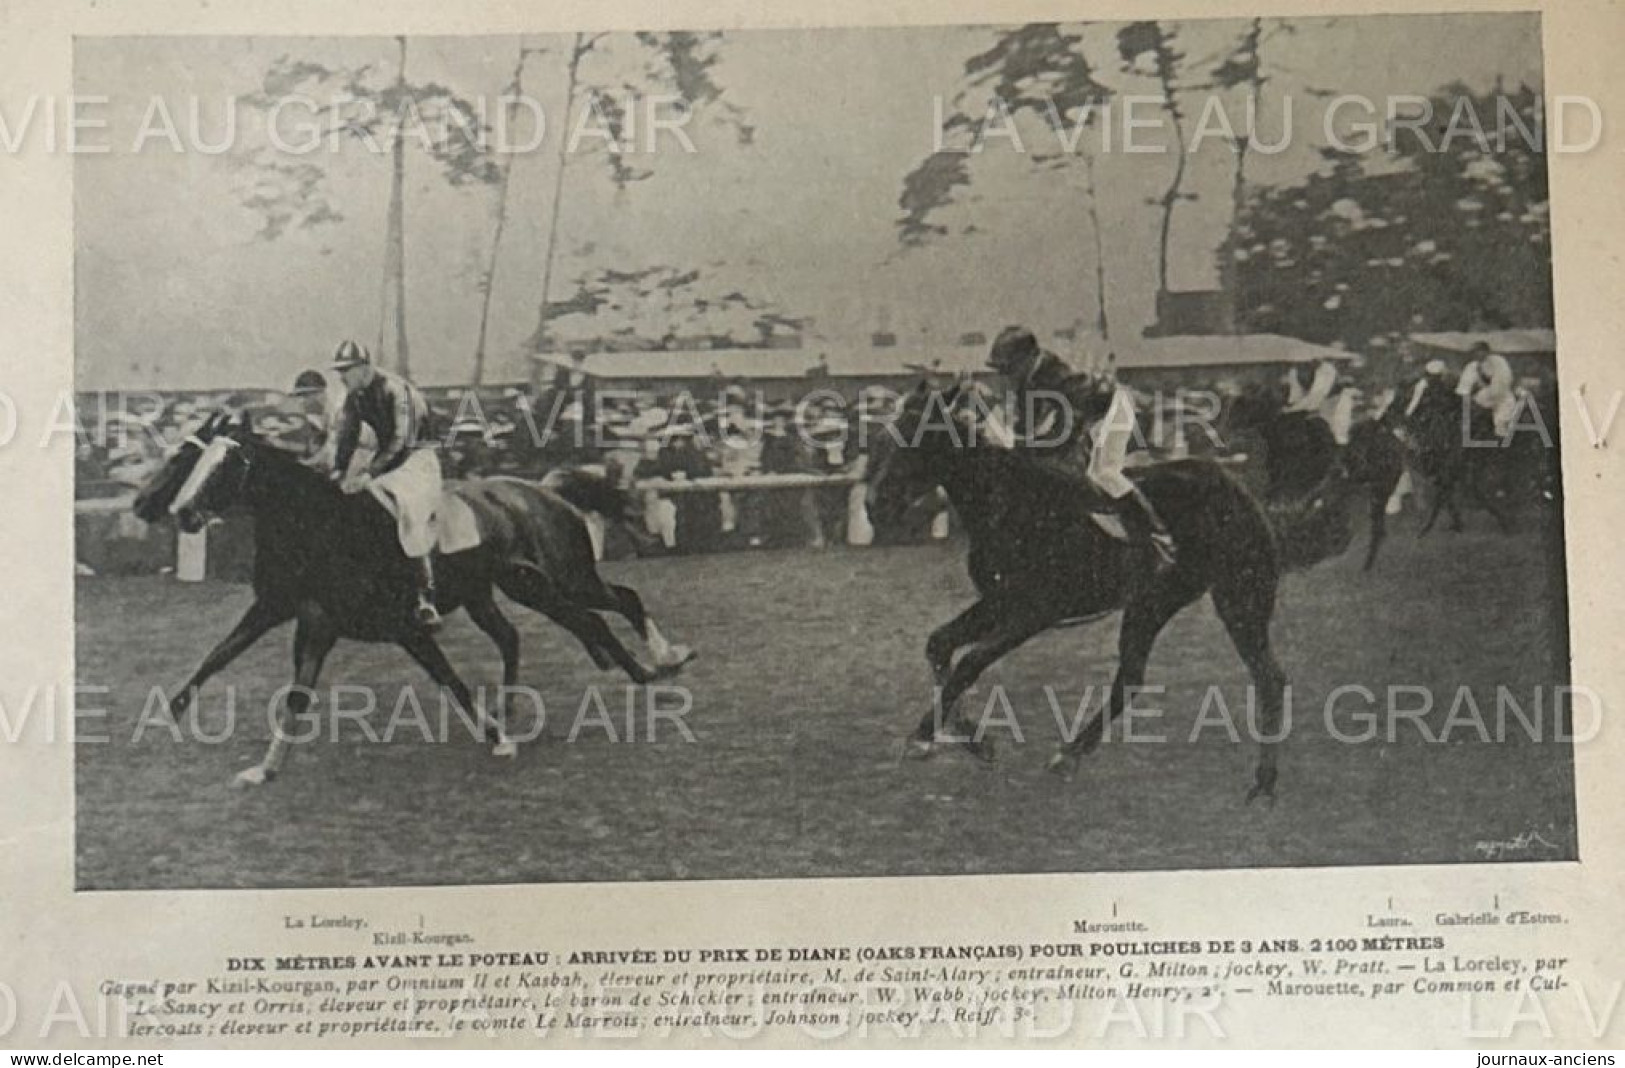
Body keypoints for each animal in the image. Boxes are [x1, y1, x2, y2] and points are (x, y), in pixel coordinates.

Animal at [131, 412, 692, 786]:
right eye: (191, 459)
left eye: (222, 464)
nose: (168, 509)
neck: (321, 527)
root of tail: (547, 490)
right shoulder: (293, 614)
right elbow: (226, 661)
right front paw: (191, 729)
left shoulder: (401, 627)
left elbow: (451, 681)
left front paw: (498, 741)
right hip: (513, 588)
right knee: (540, 630)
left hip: (565, 576)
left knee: (616, 603)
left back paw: (660, 665)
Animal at [871, 383, 1287, 799]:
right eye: (890, 435)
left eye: (916, 438)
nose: (876, 502)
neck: (1011, 506)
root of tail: (1239, 488)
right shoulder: (997, 602)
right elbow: (939, 645)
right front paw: (969, 738)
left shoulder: (1032, 612)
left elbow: (971, 662)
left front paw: (929, 735)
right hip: (1152, 603)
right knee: (1131, 678)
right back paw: (1070, 753)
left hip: (1239, 599)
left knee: (1269, 678)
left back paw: (1265, 782)